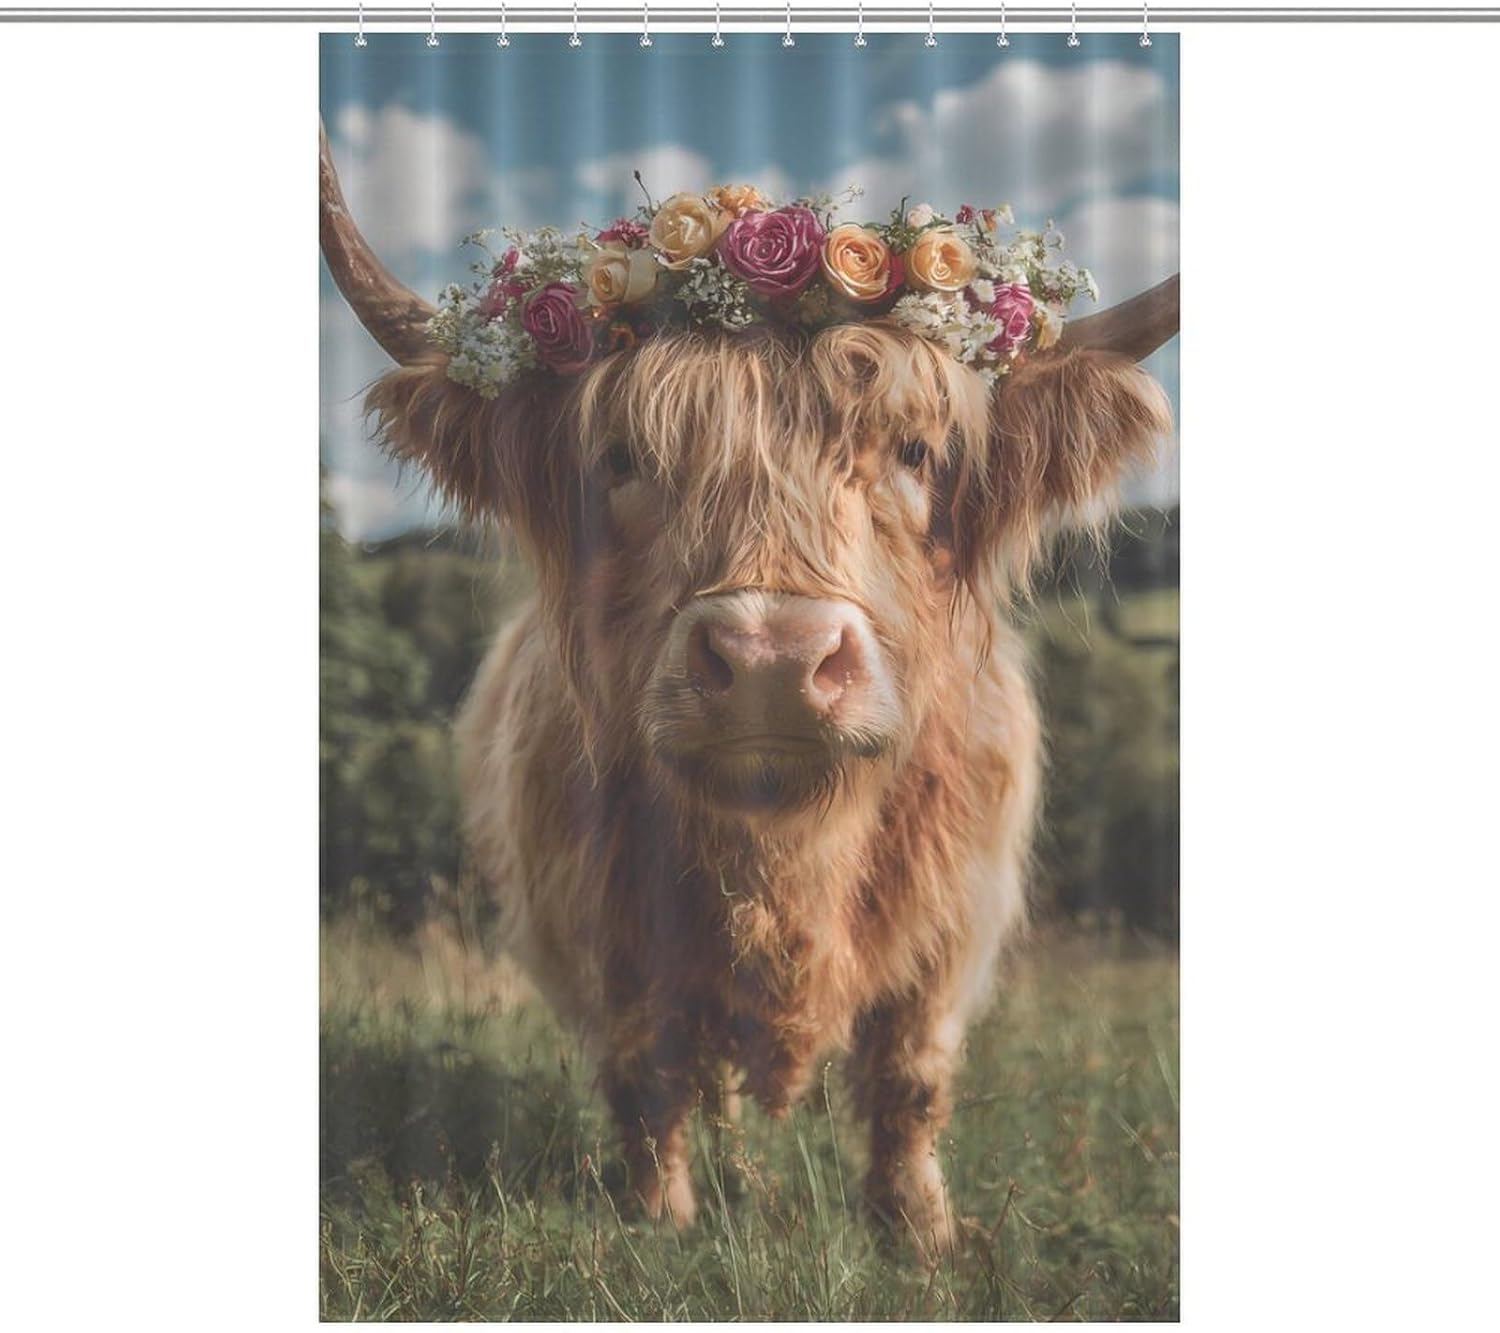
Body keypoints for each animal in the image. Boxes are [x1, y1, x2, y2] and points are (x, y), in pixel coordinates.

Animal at [320, 126, 1178, 1258]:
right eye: (622, 459)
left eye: (915, 450)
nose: (773, 657)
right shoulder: (602, 923)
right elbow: (645, 1069)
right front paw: (660, 1219)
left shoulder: (955, 920)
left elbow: (910, 1078)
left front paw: (919, 1232)